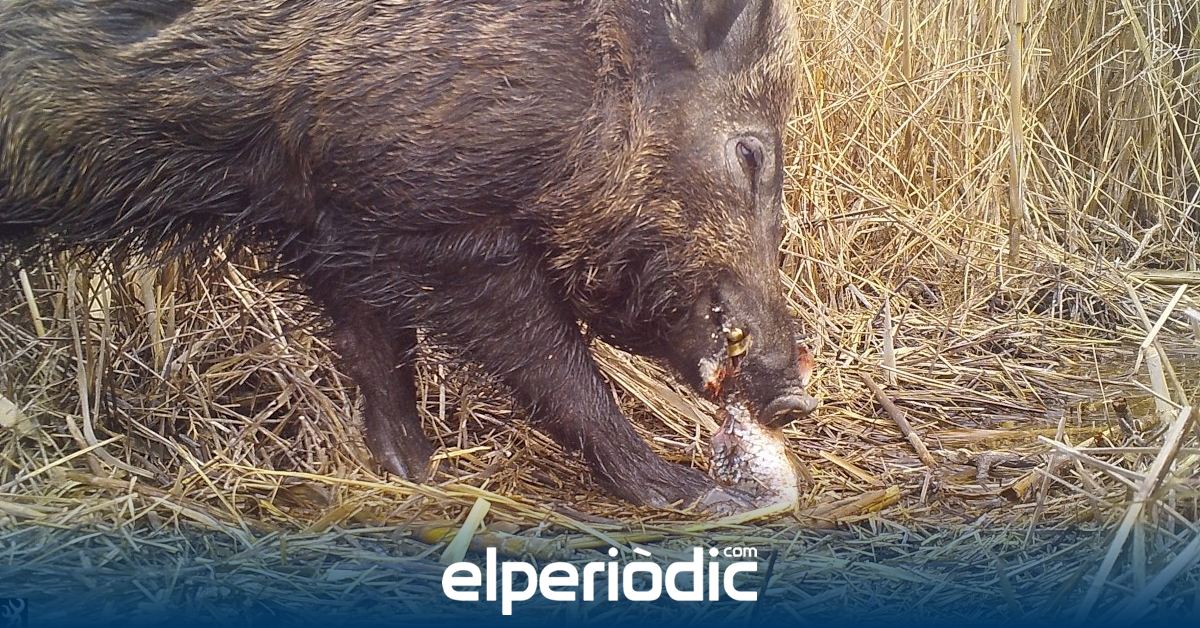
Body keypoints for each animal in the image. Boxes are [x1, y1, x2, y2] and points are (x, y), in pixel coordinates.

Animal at [0, 0, 818, 510]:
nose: (794, 396)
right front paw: (696, 495)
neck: (583, 75)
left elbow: (378, 351)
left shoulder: (331, 219)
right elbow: (557, 366)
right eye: (750, 152)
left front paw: (414, 477)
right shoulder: (440, 225)